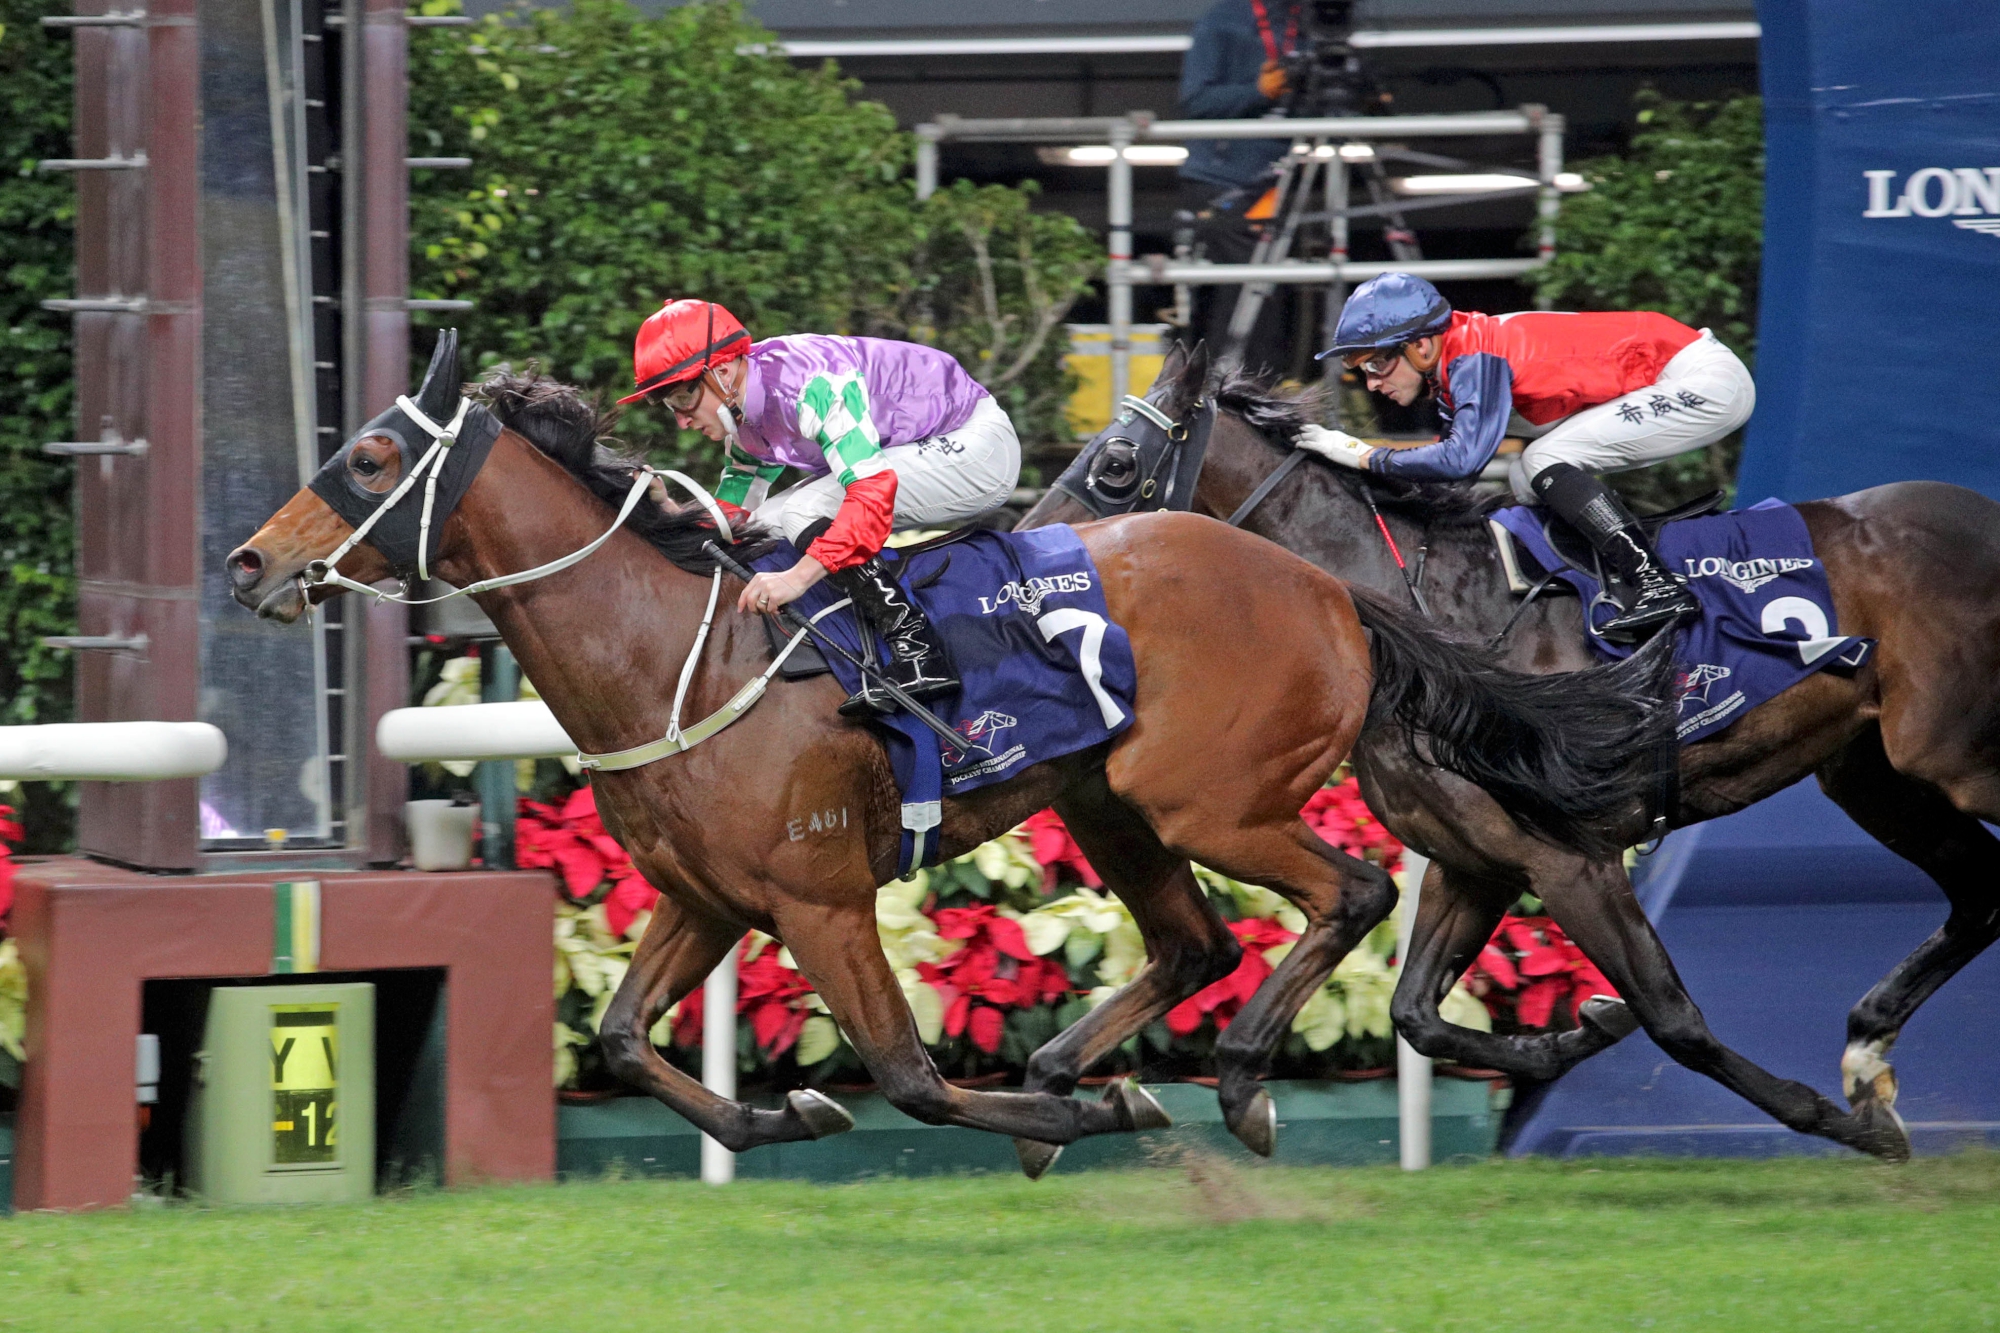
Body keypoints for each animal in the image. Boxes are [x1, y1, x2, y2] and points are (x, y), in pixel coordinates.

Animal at [227, 334, 1680, 1176]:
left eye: (371, 454)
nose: (250, 562)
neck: (673, 652)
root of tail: (1326, 586)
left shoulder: (819, 897)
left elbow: (911, 1076)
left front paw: (1090, 1115)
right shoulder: (706, 896)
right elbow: (633, 1042)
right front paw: (785, 1117)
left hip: (1208, 798)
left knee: (1355, 891)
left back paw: (1238, 1081)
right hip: (1111, 804)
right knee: (1202, 941)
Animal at [1024, 344, 2000, 1160]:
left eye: (1113, 464)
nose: (1031, 551)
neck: (1435, 616)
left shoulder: (1573, 857)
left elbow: (1673, 1018)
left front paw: (1839, 1121)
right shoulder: (1476, 858)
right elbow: (1417, 1012)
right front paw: (1579, 1030)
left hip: (1952, 758)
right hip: (1877, 775)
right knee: (1979, 893)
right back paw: (1867, 1043)